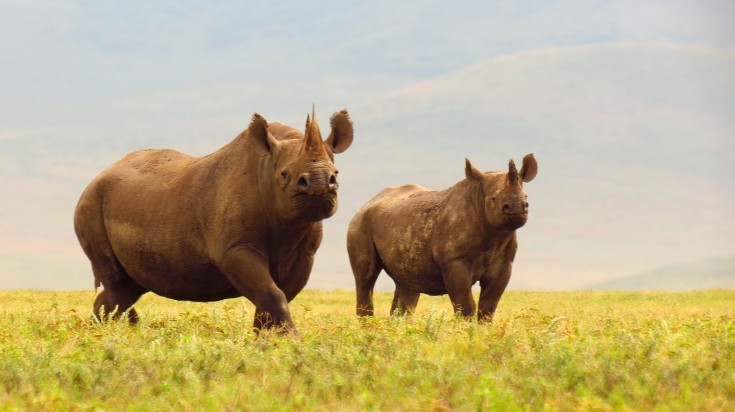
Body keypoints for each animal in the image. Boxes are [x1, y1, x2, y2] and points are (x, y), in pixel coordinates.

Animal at [73, 108, 356, 334]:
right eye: (285, 175)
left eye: (337, 173)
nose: (320, 184)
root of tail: (98, 176)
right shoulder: (235, 250)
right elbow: (272, 293)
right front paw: (288, 340)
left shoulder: (305, 254)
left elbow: (275, 295)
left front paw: (265, 339)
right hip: (90, 205)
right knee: (117, 284)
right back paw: (123, 335)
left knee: (129, 285)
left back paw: (101, 333)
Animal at [348, 154, 536, 322]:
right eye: (493, 199)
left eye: (526, 197)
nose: (517, 207)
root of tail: (368, 202)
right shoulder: (455, 261)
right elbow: (465, 305)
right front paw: (466, 331)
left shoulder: (504, 263)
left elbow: (488, 307)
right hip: (360, 223)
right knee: (366, 278)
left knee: (406, 286)